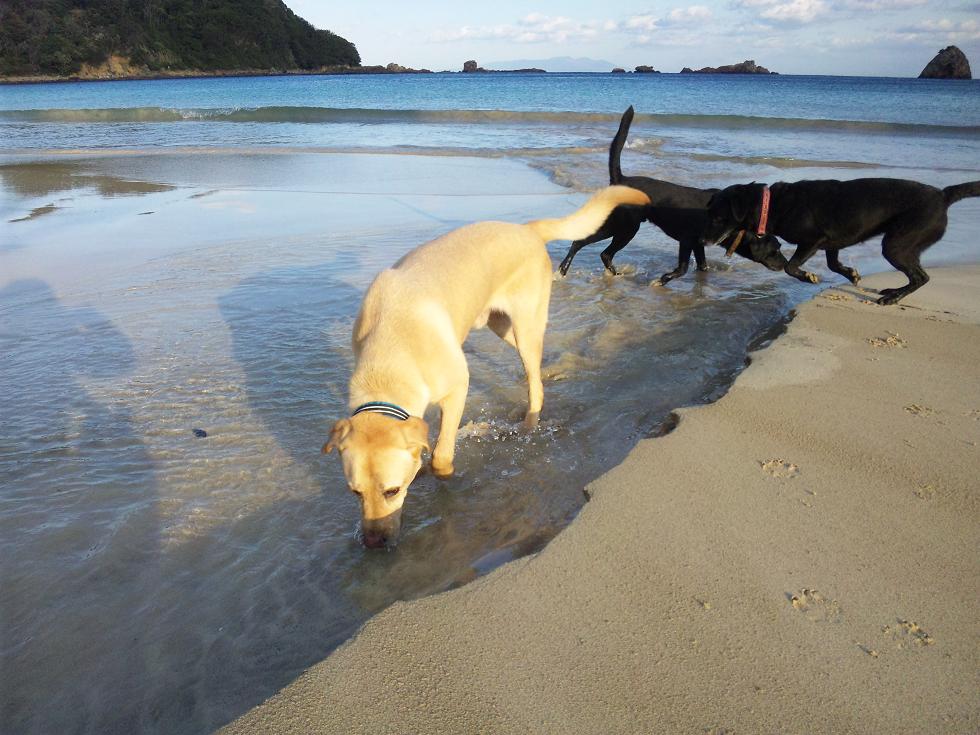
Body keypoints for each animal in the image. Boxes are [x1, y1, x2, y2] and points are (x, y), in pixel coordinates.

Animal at [323, 185, 650, 549]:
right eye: (355, 493)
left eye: (392, 491)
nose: (373, 543)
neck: (389, 358)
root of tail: (527, 229)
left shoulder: (458, 385)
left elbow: (441, 454)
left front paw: (445, 474)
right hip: (501, 326)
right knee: (537, 362)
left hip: (523, 325)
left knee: (534, 383)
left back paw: (531, 421)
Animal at [558, 106, 787, 283]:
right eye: (775, 250)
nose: (785, 265)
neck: (732, 221)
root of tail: (621, 180)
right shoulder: (687, 240)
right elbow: (683, 268)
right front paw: (663, 280)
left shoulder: (698, 245)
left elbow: (703, 266)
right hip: (625, 227)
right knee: (592, 247)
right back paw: (566, 271)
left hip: (620, 225)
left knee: (597, 250)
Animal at [701, 178, 980, 304]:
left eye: (717, 217)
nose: (702, 238)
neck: (772, 205)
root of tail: (943, 195)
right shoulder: (831, 243)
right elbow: (833, 264)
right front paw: (852, 274)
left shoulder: (813, 239)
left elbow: (791, 266)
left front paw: (808, 277)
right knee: (917, 275)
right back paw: (893, 291)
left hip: (897, 243)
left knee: (921, 276)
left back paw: (893, 297)